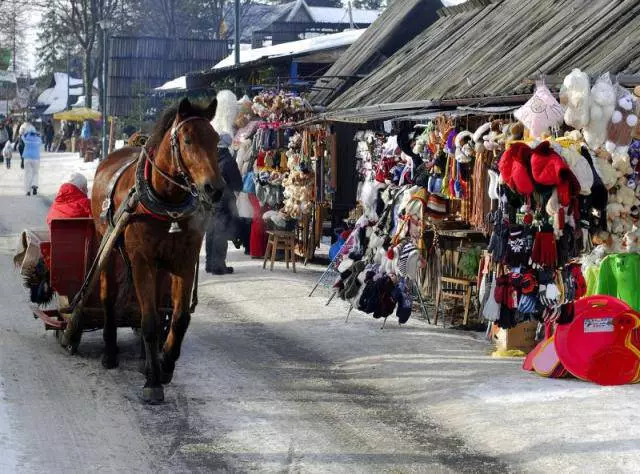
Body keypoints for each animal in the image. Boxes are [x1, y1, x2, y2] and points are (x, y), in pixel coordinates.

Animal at [89, 98, 221, 402]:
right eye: (187, 140)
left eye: (217, 140)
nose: (214, 188)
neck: (167, 204)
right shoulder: (142, 261)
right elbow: (148, 320)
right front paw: (153, 381)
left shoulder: (184, 261)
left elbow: (179, 318)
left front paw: (165, 364)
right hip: (108, 245)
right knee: (108, 297)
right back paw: (110, 353)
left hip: (162, 266)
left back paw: (144, 358)